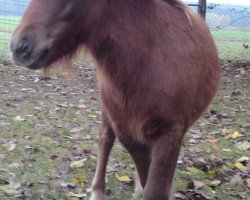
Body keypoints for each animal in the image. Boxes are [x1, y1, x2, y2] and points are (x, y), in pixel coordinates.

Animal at [10, 0, 220, 199]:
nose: (19, 46)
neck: (149, 58)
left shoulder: (170, 134)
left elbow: (155, 189)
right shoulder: (128, 134)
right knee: (105, 140)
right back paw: (98, 192)